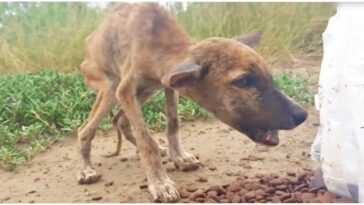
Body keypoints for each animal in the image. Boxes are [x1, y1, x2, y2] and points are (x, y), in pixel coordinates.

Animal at [77, 2, 308, 202]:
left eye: (269, 76)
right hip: (110, 88)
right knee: (85, 129)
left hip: (145, 91)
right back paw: (86, 169)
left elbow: (173, 124)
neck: (159, 43)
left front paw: (179, 157)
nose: (302, 115)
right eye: (243, 81)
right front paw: (160, 183)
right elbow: (146, 140)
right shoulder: (126, 90)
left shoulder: (170, 86)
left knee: (120, 120)